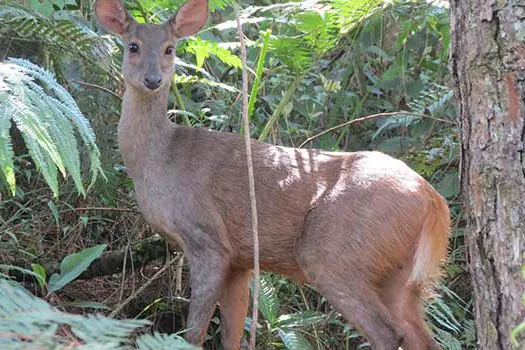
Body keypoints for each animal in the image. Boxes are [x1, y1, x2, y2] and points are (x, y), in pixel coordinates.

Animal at [95, 0, 450, 348]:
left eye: (170, 48)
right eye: (133, 46)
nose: (153, 79)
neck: (159, 159)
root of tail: (433, 200)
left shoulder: (208, 238)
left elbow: (194, 333)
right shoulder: (240, 258)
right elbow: (232, 333)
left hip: (337, 253)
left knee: (388, 334)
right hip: (399, 275)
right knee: (422, 337)